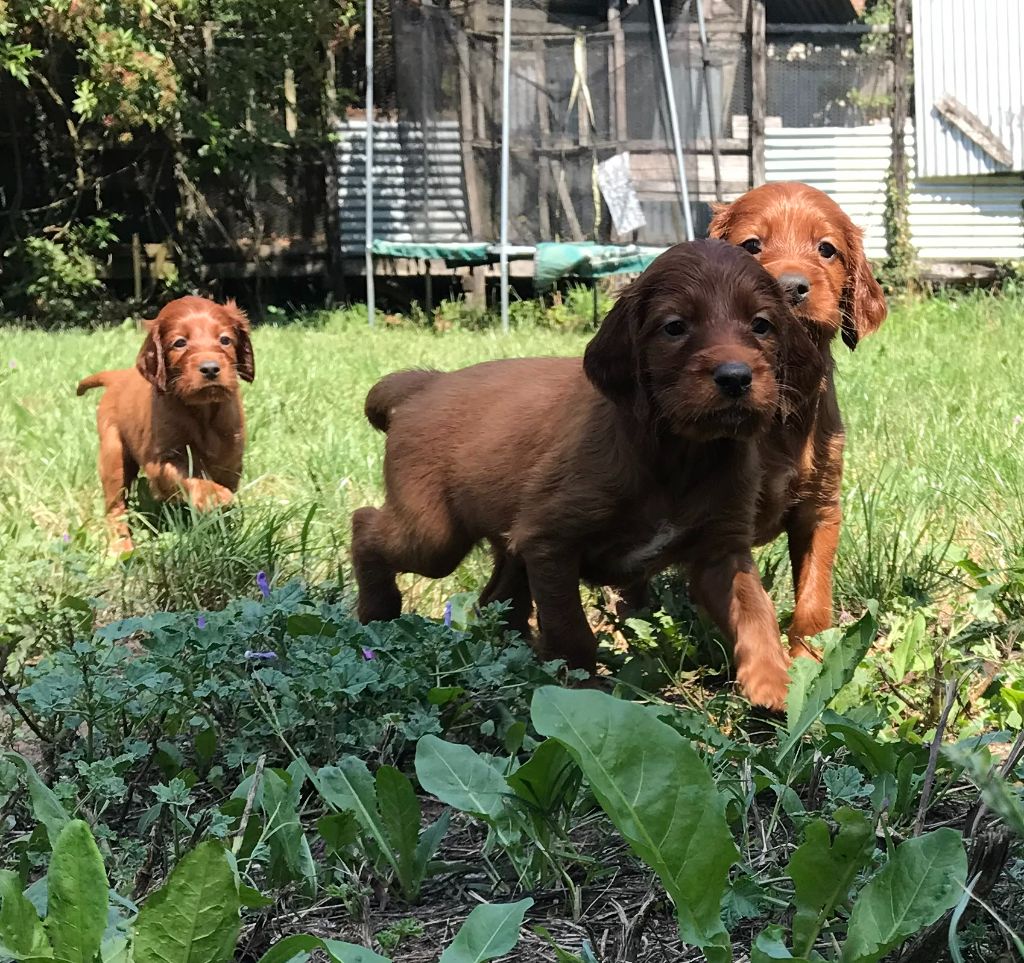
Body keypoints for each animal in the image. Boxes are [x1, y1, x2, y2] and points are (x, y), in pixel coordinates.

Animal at [352, 240, 823, 708]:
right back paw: (378, 612)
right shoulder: (549, 540)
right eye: (674, 327)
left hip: (504, 539)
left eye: (761, 325)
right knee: (367, 526)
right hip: (435, 535)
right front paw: (580, 687)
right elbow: (570, 629)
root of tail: (425, 384)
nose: (736, 378)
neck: (681, 454)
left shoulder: (721, 550)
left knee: (496, 600)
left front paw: (776, 686)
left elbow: (755, 613)